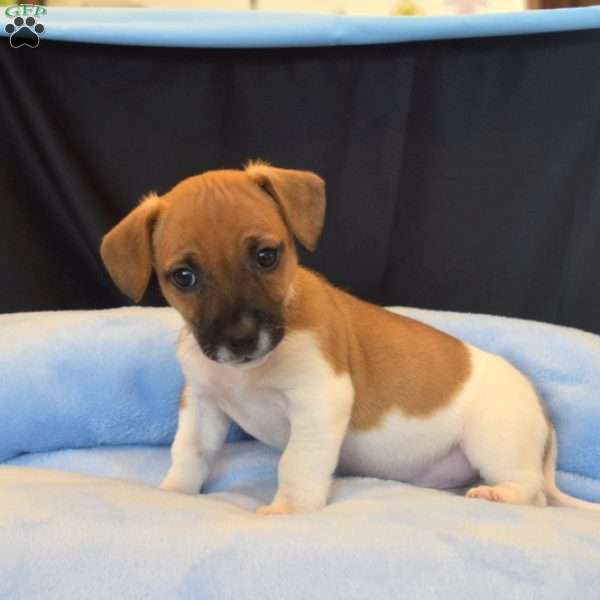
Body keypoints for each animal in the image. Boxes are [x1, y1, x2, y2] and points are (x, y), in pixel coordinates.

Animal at [101, 164, 596, 516]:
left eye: (266, 256)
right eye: (183, 276)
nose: (240, 340)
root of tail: (540, 409)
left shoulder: (319, 401)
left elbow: (296, 461)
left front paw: (289, 510)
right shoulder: (203, 405)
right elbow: (189, 452)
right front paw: (174, 493)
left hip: (495, 444)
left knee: (534, 495)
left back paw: (497, 497)